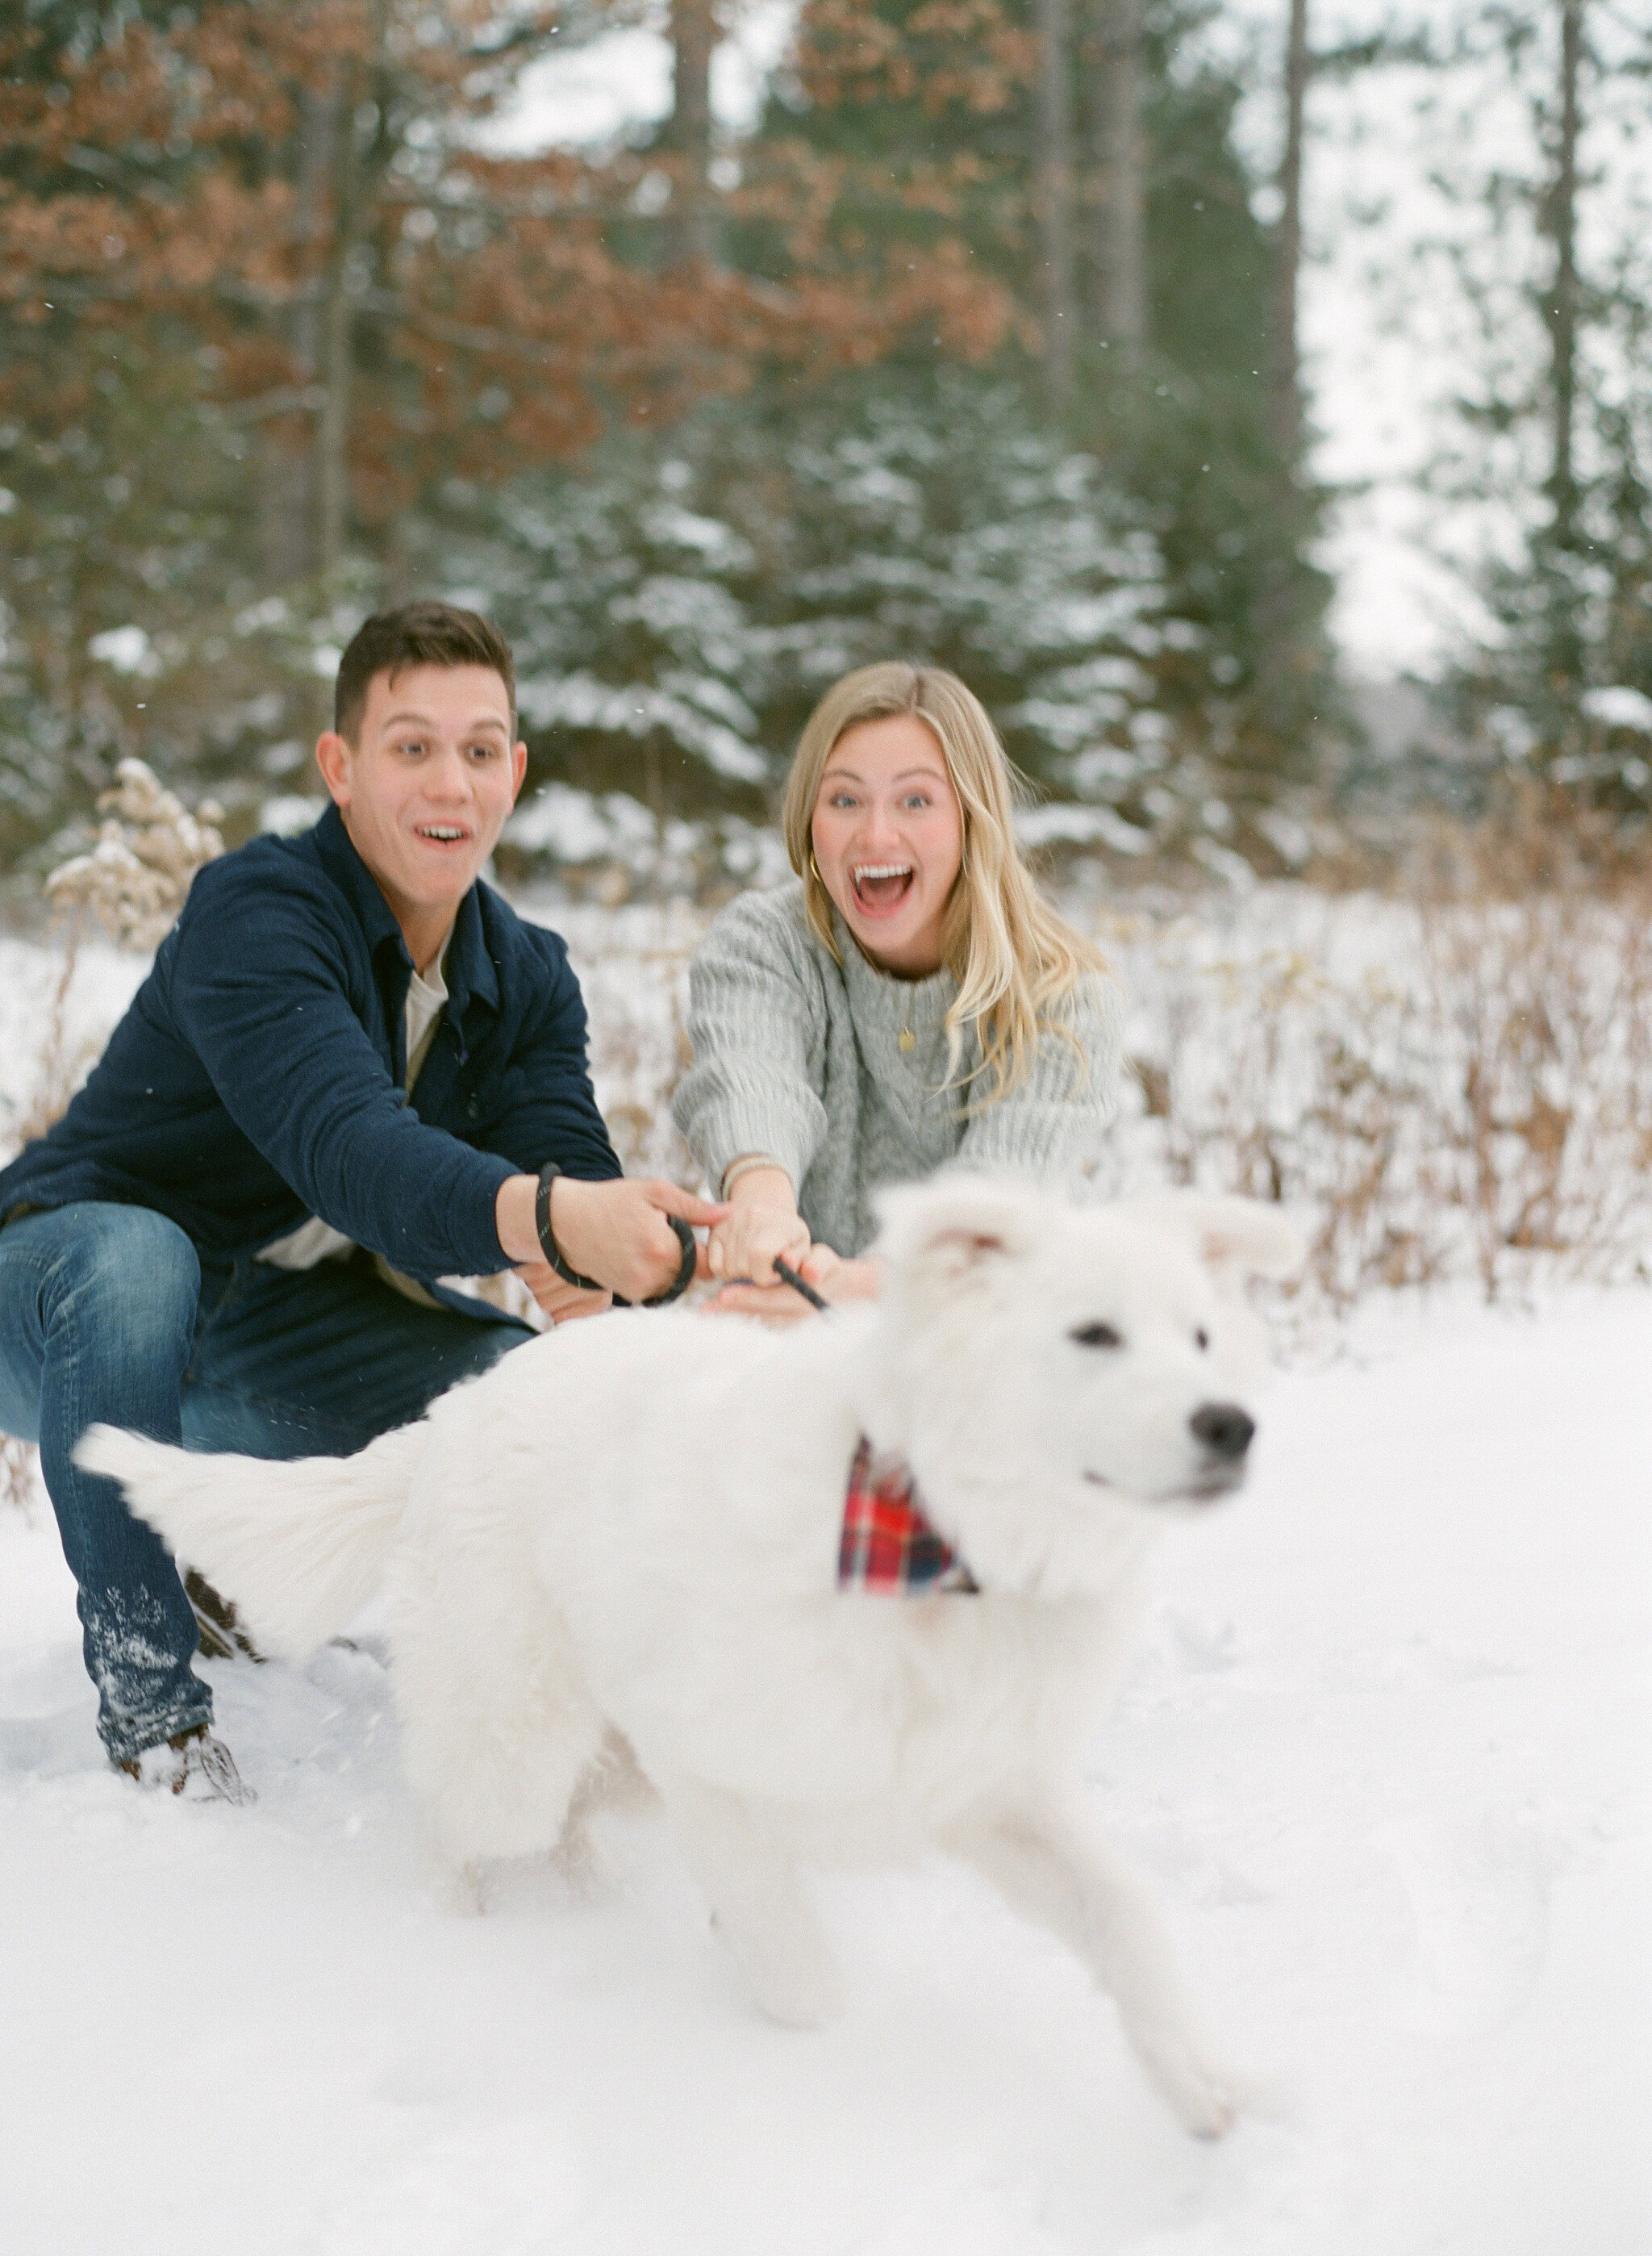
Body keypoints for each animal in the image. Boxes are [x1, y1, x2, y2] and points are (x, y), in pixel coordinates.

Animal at [84, 1172, 1299, 2138]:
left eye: (1201, 1339)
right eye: (1093, 1335)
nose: (1233, 1426)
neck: (934, 1543)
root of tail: (450, 1417)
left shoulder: (988, 1787)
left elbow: (1126, 1922)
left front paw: (1207, 2088)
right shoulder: (716, 1769)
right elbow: (801, 1975)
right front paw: (818, 2054)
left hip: (604, 1748)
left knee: (563, 1822)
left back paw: (591, 1899)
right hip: (519, 1731)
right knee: (458, 1824)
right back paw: (464, 1944)